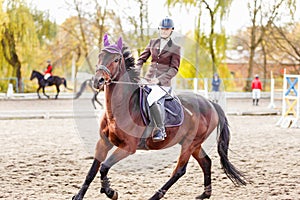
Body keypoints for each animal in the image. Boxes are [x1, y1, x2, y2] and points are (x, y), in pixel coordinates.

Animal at [72, 36, 246, 200]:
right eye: (100, 56)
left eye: (116, 59)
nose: (98, 81)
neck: (119, 108)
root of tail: (210, 103)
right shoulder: (103, 143)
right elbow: (92, 171)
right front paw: (79, 196)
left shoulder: (128, 147)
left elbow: (104, 167)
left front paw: (110, 191)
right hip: (193, 143)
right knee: (206, 162)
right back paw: (205, 194)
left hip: (190, 144)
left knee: (179, 170)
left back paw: (155, 196)